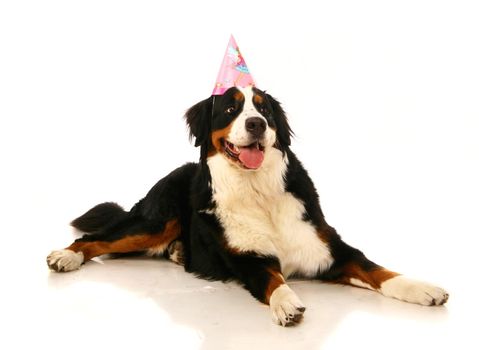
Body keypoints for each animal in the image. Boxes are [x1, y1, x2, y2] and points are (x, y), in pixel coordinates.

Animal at [47, 86, 450, 326]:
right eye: (230, 109)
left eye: (265, 111)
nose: (256, 124)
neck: (258, 191)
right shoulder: (248, 260)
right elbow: (274, 279)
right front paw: (287, 302)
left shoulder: (330, 249)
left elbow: (379, 270)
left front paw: (422, 289)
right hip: (154, 222)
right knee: (94, 239)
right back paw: (64, 256)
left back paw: (178, 252)